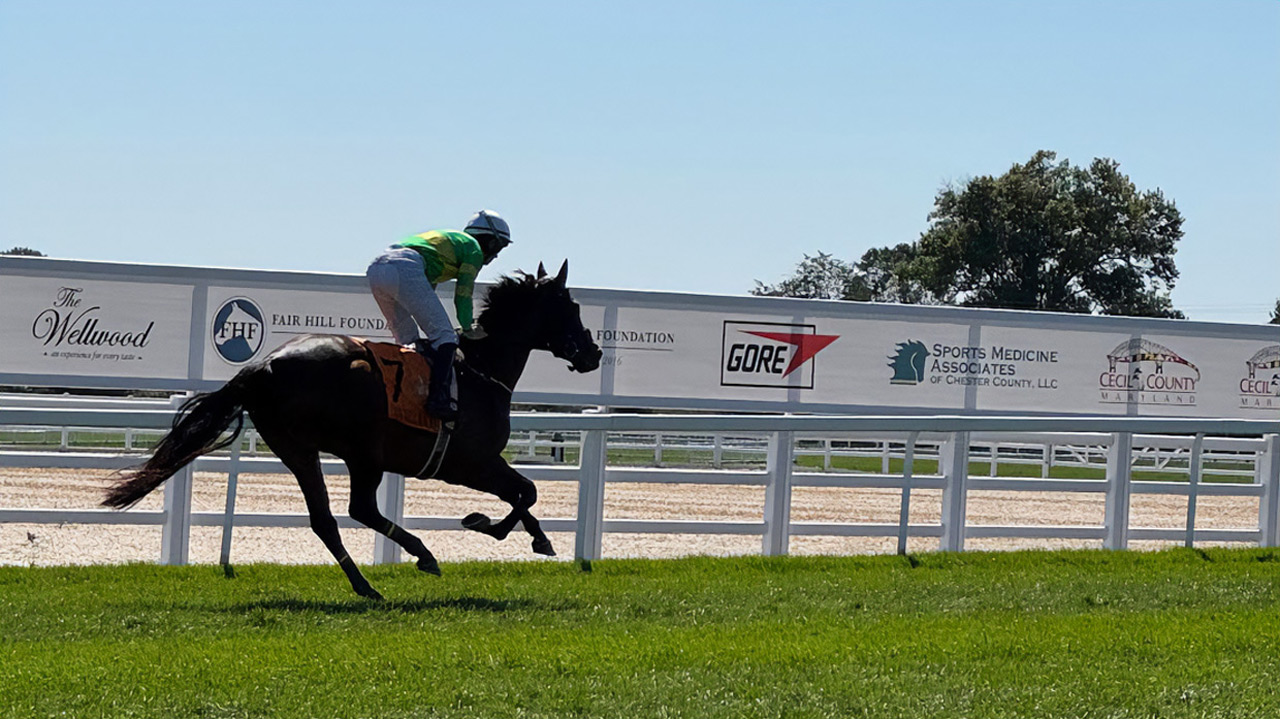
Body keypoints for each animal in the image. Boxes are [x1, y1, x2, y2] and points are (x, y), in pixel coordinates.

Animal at [103, 260, 602, 600]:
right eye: (571, 306)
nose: (593, 353)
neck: (480, 370)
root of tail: (264, 365)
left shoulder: (478, 464)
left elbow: (524, 493)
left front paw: (538, 537)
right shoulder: (470, 463)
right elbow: (525, 492)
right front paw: (484, 523)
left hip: (298, 450)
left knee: (327, 518)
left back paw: (369, 582)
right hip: (364, 451)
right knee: (357, 509)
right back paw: (415, 558)